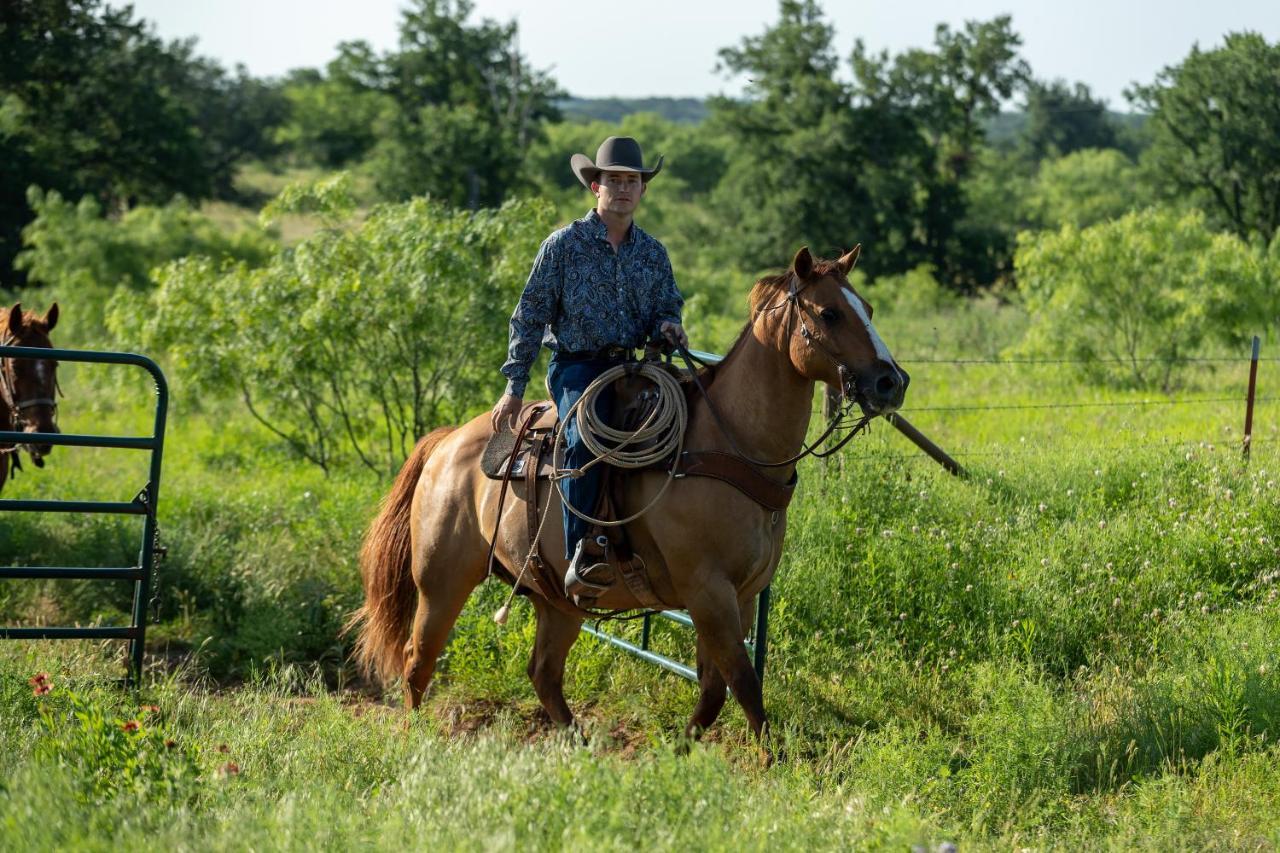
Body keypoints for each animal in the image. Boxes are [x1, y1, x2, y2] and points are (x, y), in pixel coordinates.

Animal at [350, 245, 911, 737]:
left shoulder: (742, 596)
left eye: (869, 308)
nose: (892, 382)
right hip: (442, 582)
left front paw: (680, 750)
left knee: (543, 673)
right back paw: (418, 740)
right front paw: (771, 763)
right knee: (417, 662)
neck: (727, 443)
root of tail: (448, 442)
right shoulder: (708, 593)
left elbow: (715, 690)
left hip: (557, 600)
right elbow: (745, 685)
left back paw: (580, 744)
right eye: (830, 313)